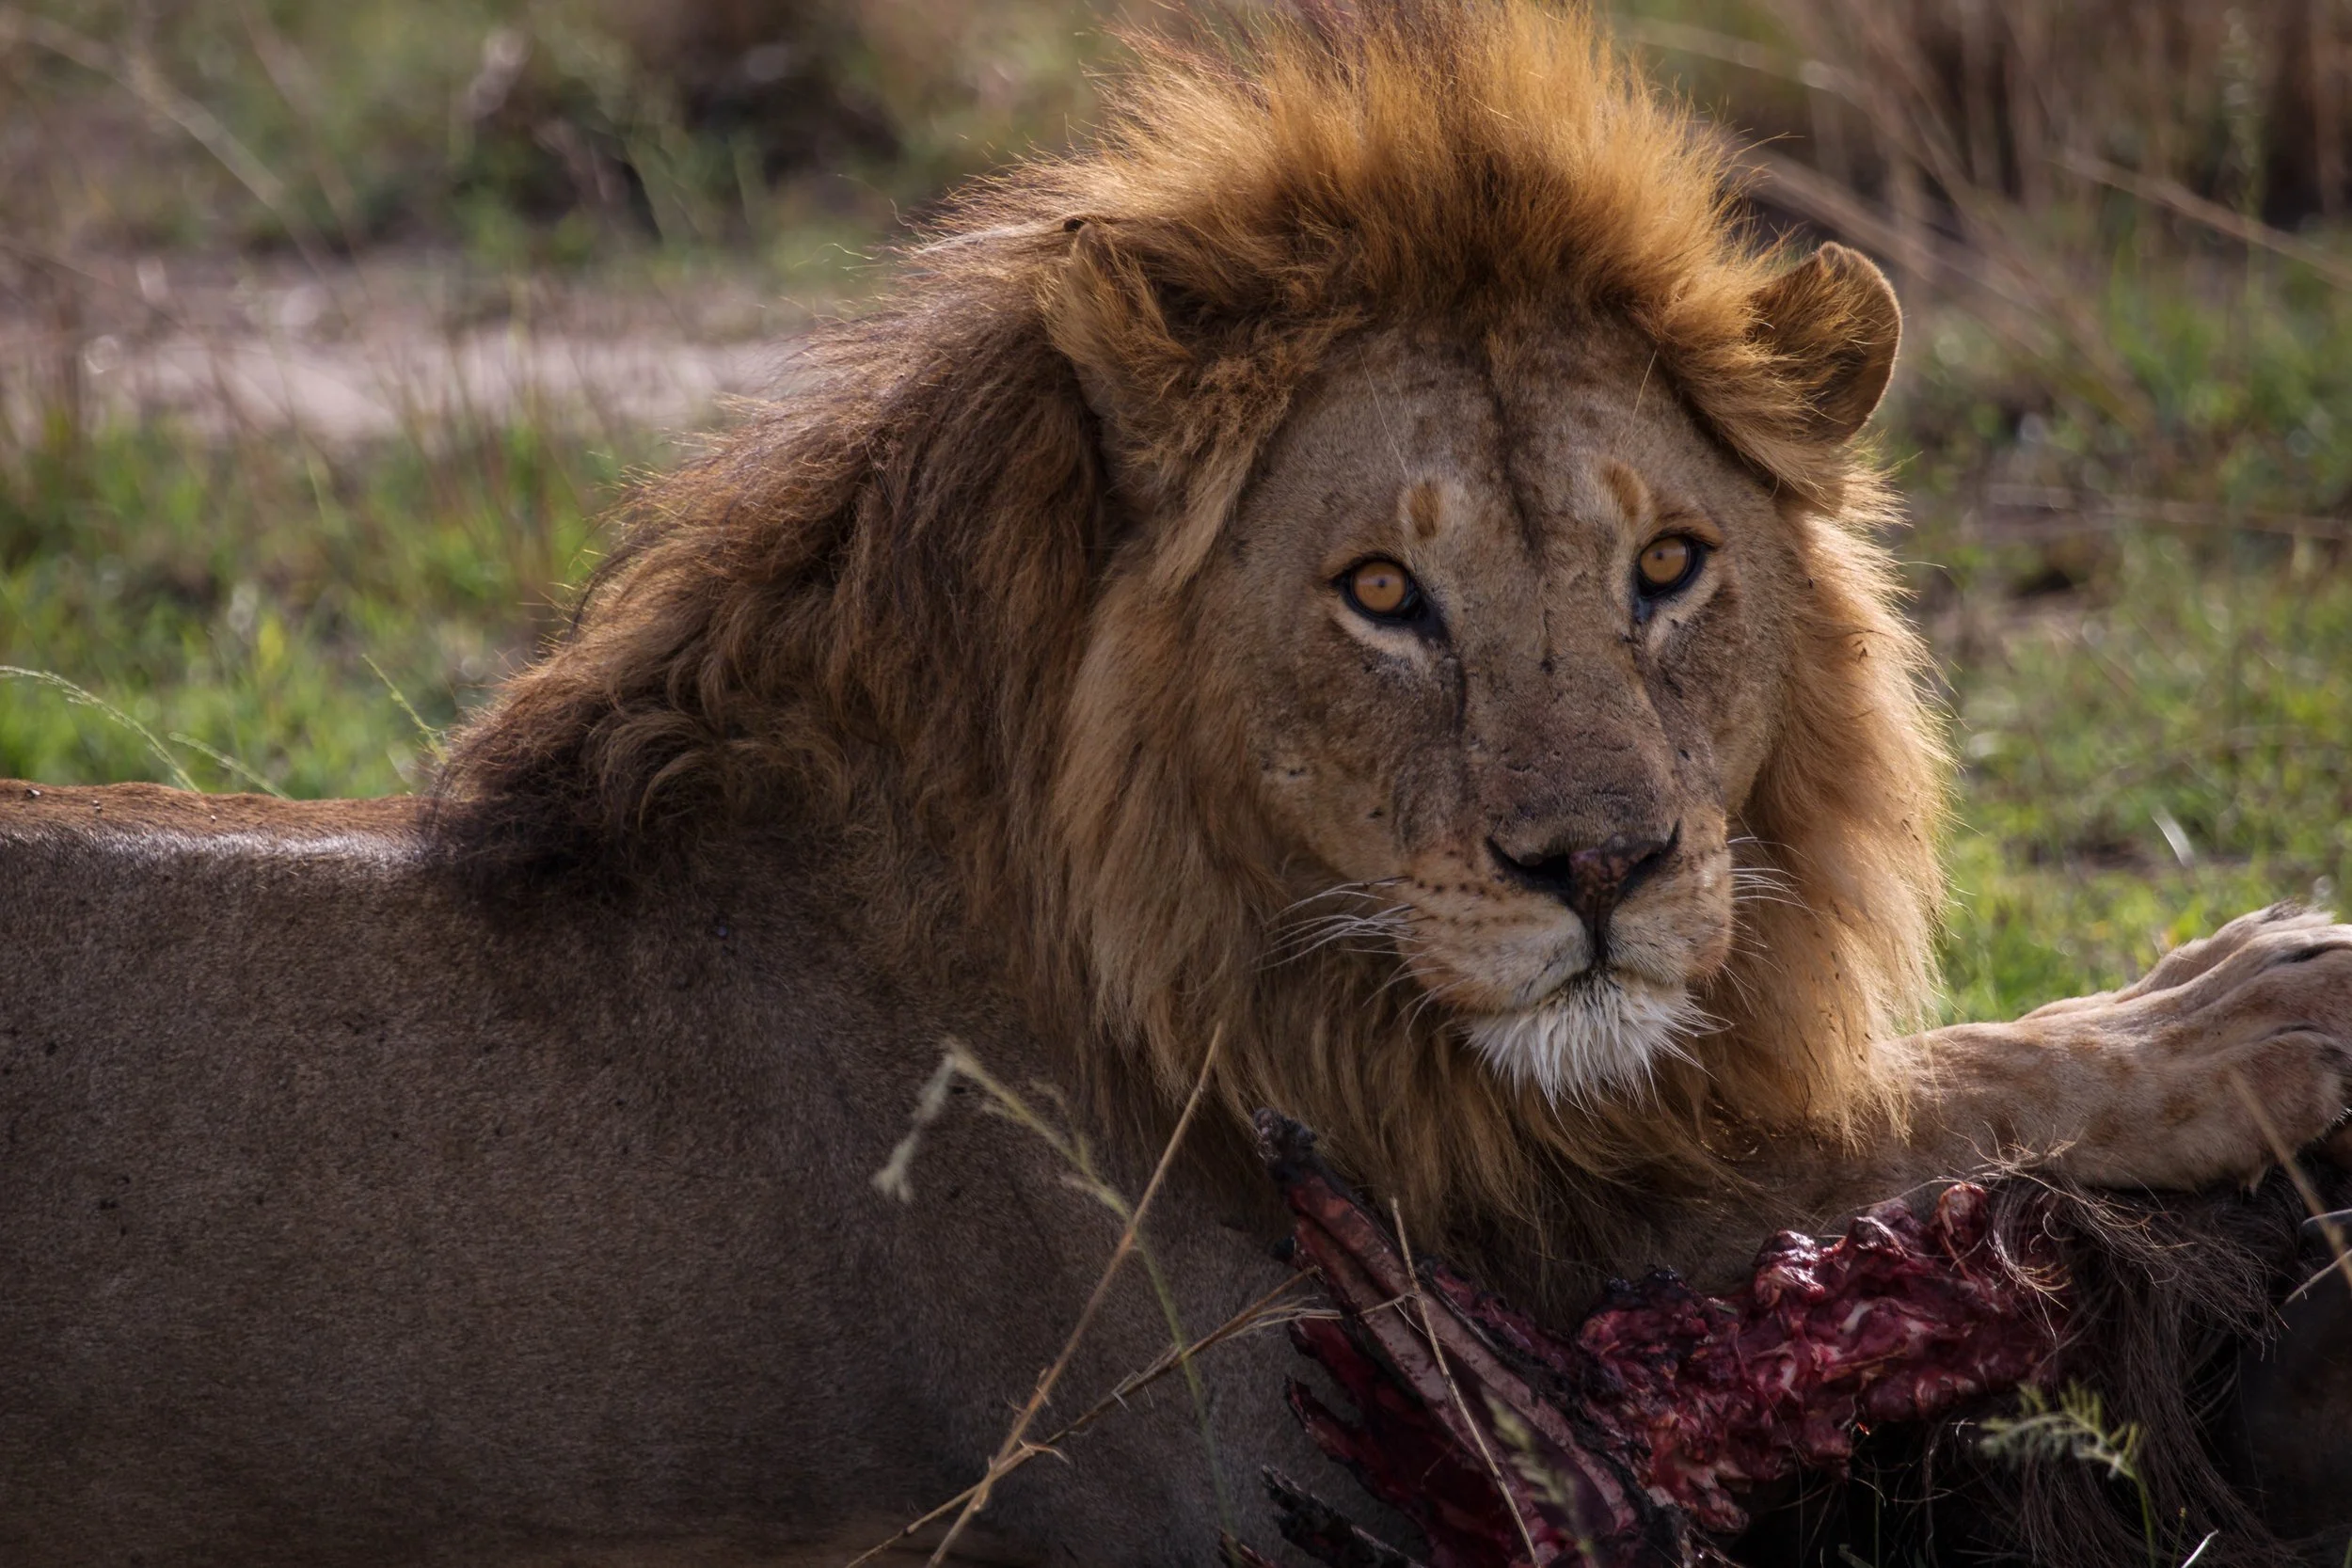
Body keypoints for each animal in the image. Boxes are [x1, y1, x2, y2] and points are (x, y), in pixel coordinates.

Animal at [3, 3, 2348, 1564]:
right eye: (1382, 592)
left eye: (1666, 565)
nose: (1602, 864)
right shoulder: (1279, 1415)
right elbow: (1849, 1133)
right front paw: (2242, 1003)